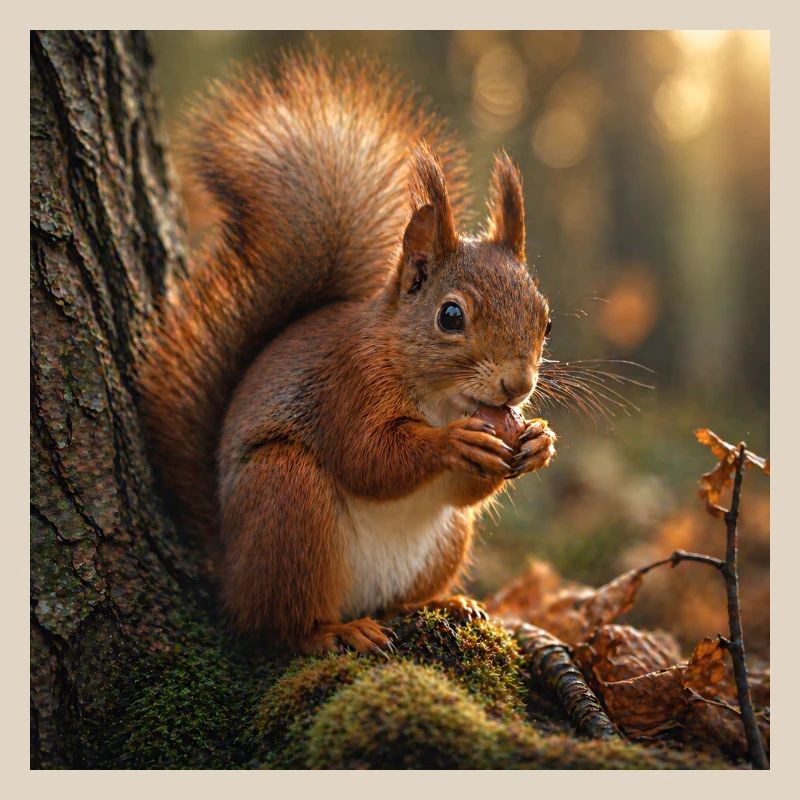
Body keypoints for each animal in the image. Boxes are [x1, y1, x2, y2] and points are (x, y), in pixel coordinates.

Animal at [137, 51, 557, 655]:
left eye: (546, 319)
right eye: (451, 317)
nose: (518, 387)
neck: (442, 398)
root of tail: (230, 568)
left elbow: (463, 493)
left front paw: (540, 441)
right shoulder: (349, 383)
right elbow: (367, 459)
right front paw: (453, 443)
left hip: (443, 543)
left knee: (400, 592)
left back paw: (444, 603)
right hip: (287, 497)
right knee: (276, 624)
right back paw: (336, 632)